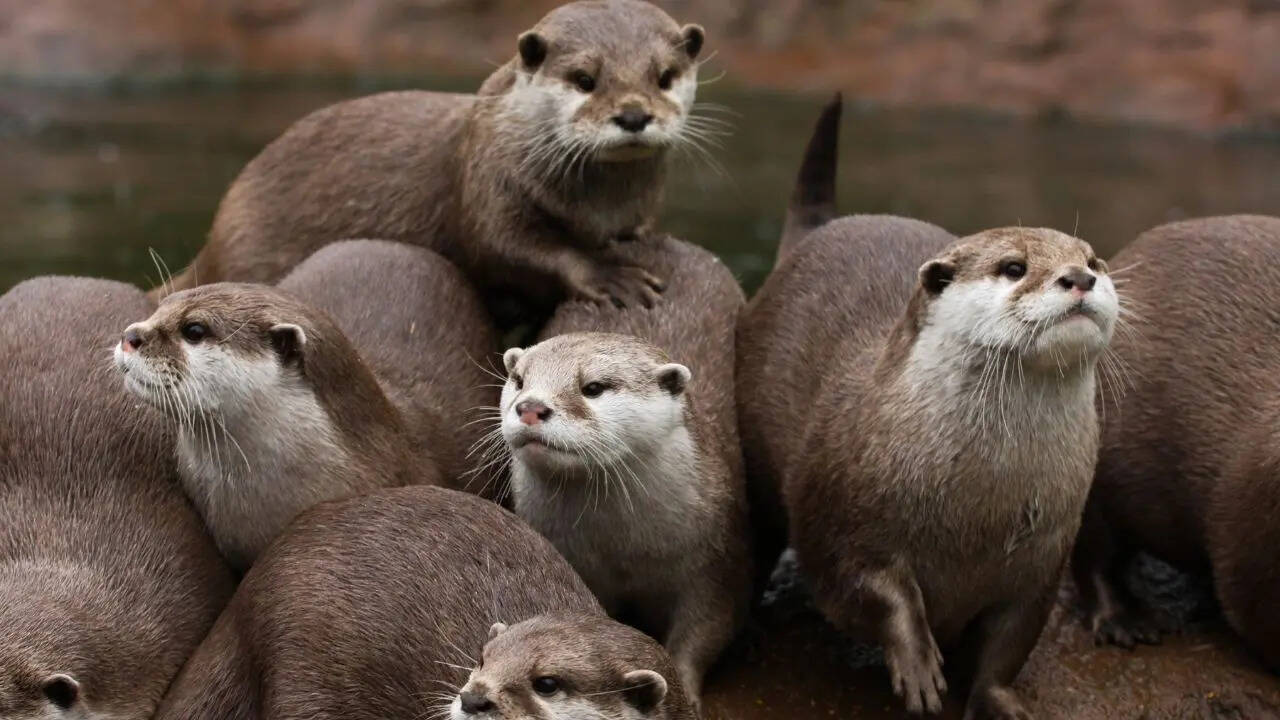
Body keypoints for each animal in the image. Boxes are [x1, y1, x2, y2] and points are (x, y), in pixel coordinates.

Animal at [159, 0, 710, 315]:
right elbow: (508, 246)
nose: (634, 115)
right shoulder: (486, 182)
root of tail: (214, 241)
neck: (596, 207)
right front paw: (607, 274)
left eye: (664, 76)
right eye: (584, 79)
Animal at [497, 236, 750, 706]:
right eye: (519, 380)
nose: (531, 407)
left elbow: (706, 628)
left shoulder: (719, 555)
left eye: (594, 387)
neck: (626, 548)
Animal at [741, 96, 1120, 718]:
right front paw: (918, 666)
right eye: (1013, 267)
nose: (1080, 277)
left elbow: (1008, 646)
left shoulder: (1041, 565)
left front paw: (999, 701)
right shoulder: (842, 521)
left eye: (1095, 259)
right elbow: (873, 588)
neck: (982, 512)